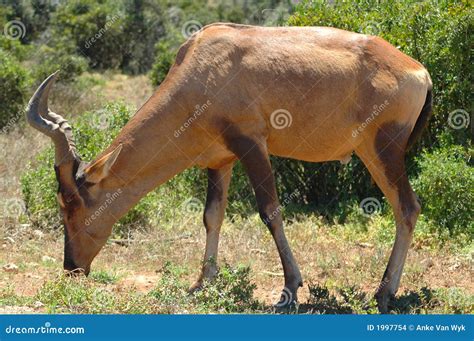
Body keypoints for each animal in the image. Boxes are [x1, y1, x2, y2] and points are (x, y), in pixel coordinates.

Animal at [26, 23, 434, 310]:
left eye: (69, 202)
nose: (72, 267)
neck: (204, 63)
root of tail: (419, 71)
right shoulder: (220, 160)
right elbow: (212, 216)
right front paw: (203, 282)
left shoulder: (251, 145)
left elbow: (270, 211)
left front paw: (289, 290)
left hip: (382, 151)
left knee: (408, 208)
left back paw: (384, 294)